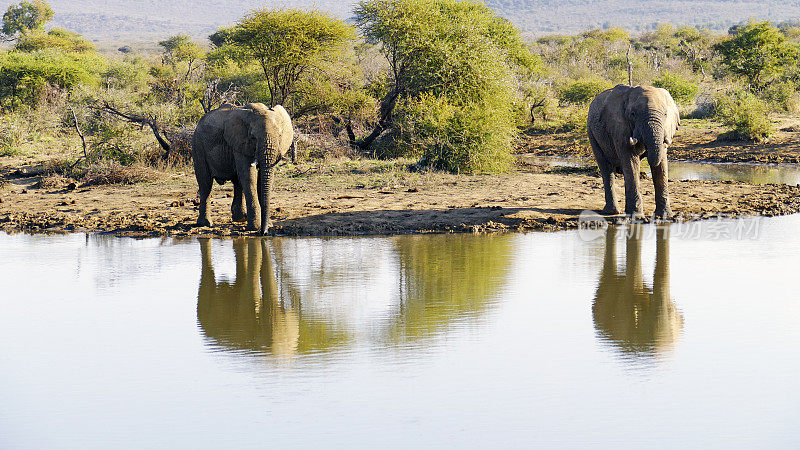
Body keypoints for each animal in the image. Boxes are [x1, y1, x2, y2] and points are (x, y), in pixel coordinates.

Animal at [191, 102, 296, 236]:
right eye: (253, 137)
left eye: (280, 135)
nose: (264, 233)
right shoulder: (240, 142)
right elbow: (249, 177)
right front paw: (256, 227)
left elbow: (260, 181)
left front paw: (268, 225)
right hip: (198, 146)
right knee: (205, 183)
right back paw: (205, 224)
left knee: (237, 182)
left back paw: (240, 219)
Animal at [588, 85, 680, 219]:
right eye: (633, 114)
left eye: (665, 114)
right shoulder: (619, 128)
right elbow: (631, 161)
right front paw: (637, 217)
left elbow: (661, 164)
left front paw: (665, 216)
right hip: (591, 133)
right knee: (605, 168)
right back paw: (612, 212)